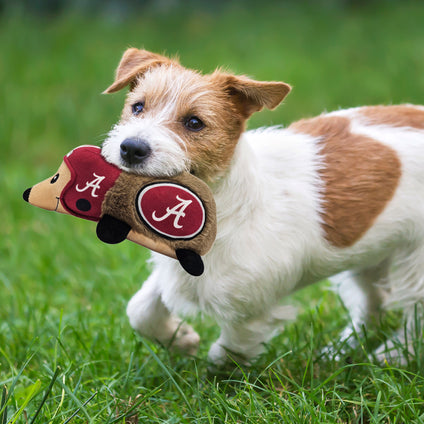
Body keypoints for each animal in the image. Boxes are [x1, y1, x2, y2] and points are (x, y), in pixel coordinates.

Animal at [102, 48, 424, 366]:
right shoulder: (174, 270)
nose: (131, 148)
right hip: (369, 255)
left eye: (194, 123)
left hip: (414, 264)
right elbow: (140, 310)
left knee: (414, 315)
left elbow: (227, 353)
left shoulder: (251, 310)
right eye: (138, 107)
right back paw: (340, 352)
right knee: (373, 303)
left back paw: (394, 355)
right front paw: (180, 339)